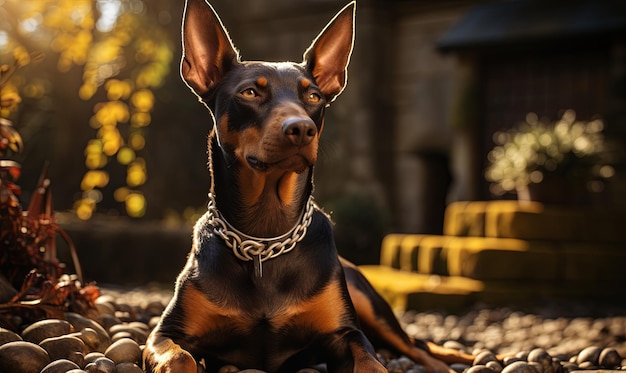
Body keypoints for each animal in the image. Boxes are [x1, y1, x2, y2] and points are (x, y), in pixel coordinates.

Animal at [141, 0, 472, 372]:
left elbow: (371, 362)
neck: (264, 241)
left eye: (313, 96)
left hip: (368, 303)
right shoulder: (165, 334)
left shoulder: (345, 333)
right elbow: (180, 357)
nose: (301, 129)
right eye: (250, 92)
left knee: (416, 345)